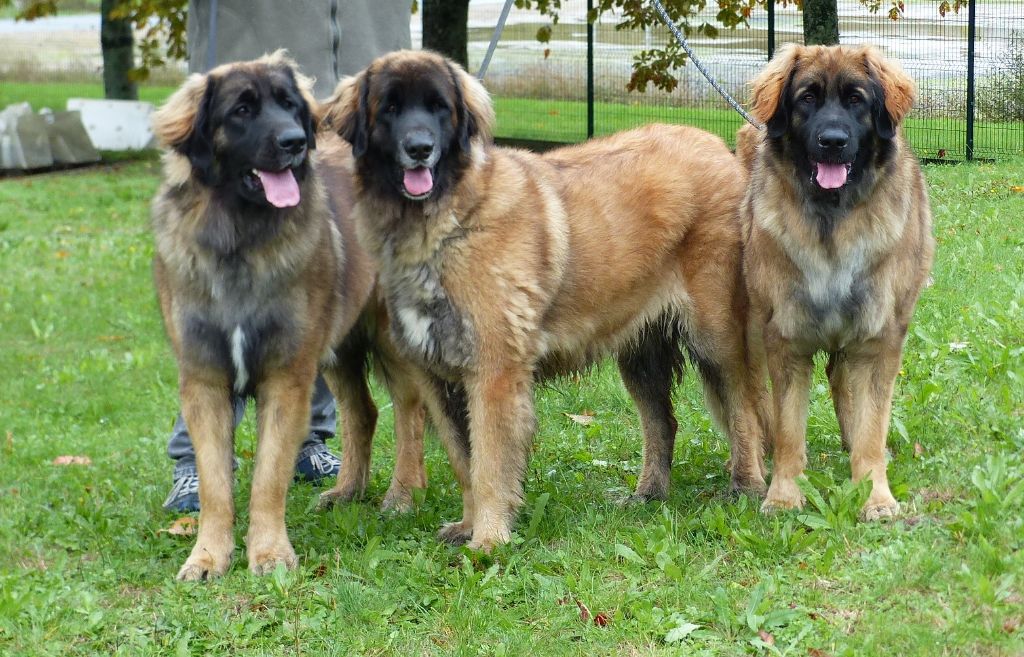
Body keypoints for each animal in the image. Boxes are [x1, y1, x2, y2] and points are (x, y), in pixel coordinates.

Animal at [149, 53, 428, 581]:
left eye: (290, 106)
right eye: (242, 110)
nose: (295, 142)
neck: (241, 238)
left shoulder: (287, 376)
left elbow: (268, 476)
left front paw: (270, 554)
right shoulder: (204, 380)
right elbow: (216, 484)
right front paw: (208, 556)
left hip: (389, 339)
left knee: (410, 411)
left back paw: (404, 494)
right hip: (338, 348)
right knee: (363, 412)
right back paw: (347, 492)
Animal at [319, 51, 770, 548]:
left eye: (439, 108)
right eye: (390, 108)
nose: (420, 148)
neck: (444, 224)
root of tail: (719, 150)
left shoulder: (494, 374)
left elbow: (489, 464)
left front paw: (488, 539)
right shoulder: (439, 378)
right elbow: (463, 461)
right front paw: (468, 525)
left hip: (715, 336)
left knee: (744, 407)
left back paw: (746, 486)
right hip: (641, 353)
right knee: (662, 422)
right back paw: (649, 493)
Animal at [741, 43, 933, 519]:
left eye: (856, 101)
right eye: (807, 98)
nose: (832, 142)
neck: (833, 220)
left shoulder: (877, 339)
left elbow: (871, 427)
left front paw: (875, 495)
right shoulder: (785, 338)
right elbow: (790, 429)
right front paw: (784, 494)